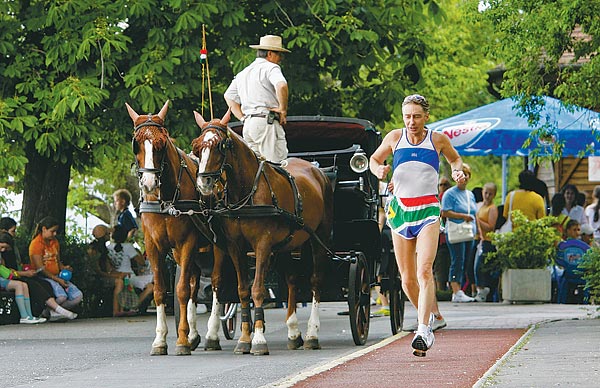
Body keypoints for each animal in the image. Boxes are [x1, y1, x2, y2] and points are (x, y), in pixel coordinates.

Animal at [125, 101, 212, 356]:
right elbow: (161, 290)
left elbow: (181, 290)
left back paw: (211, 335)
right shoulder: (155, 247)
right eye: (136, 144)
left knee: (217, 286)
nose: (149, 184)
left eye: (161, 144)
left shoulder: (187, 244)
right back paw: (194, 335)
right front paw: (161, 340)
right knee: (195, 285)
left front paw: (181, 340)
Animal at [191, 110, 332, 356]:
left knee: (316, 281)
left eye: (220, 145)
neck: (247, 192)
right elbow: (243, 290)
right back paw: (293, 333)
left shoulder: (262, 245)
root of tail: (317, 171)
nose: (204, 183)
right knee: (292, 280)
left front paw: (257, 339)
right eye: (197, 146)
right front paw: (244, 339)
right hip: (289, 243)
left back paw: (311, 334)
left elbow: (257, 289)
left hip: (319, 238)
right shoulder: (235, 248)